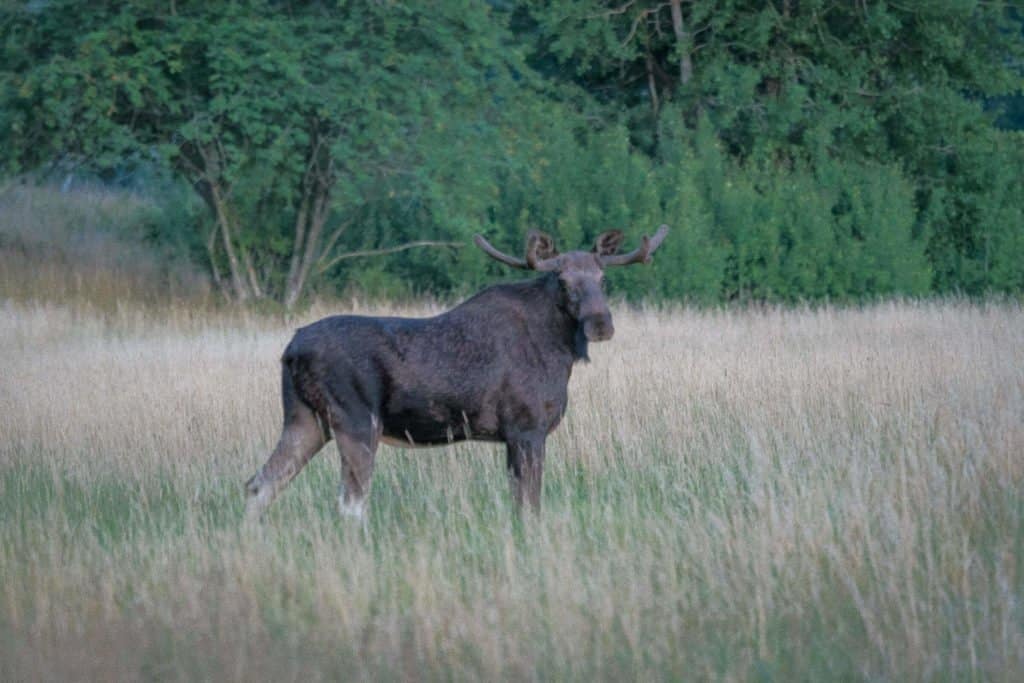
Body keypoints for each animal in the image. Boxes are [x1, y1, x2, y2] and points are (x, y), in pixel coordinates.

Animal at [243, 227, 667, 520]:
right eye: (563, 281)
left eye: (603, 279)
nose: (601, 324)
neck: (561, 353)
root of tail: (290, 351)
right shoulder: (526, 428)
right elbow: (529, 505)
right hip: (356, 420)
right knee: (350, 503)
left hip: (306, 419)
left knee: (259, 484)